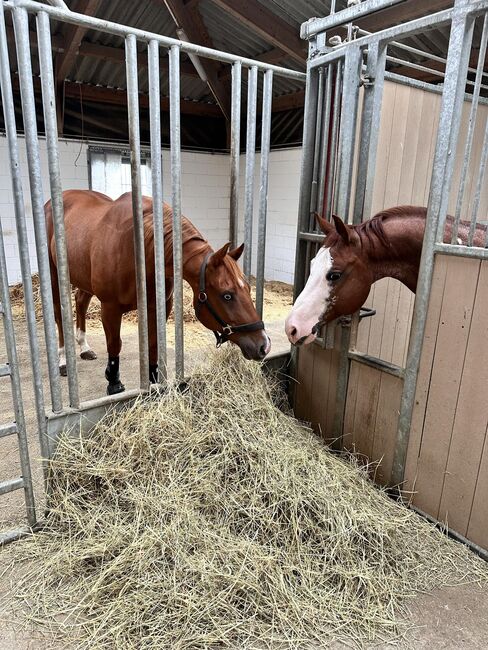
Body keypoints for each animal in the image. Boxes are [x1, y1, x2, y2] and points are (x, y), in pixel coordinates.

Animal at [45, 190, 270, 392]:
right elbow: (114, 344)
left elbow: (153, 343)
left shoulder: (158, 306)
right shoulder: (110, 308)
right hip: (55, 277)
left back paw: (84, 348)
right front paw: (114, 382)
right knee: (58, 315)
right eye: (227, 295)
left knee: (80, 301)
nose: (264, 346)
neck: (139, 247)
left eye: (247, 288)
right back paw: (63, 361)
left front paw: (154, 380)